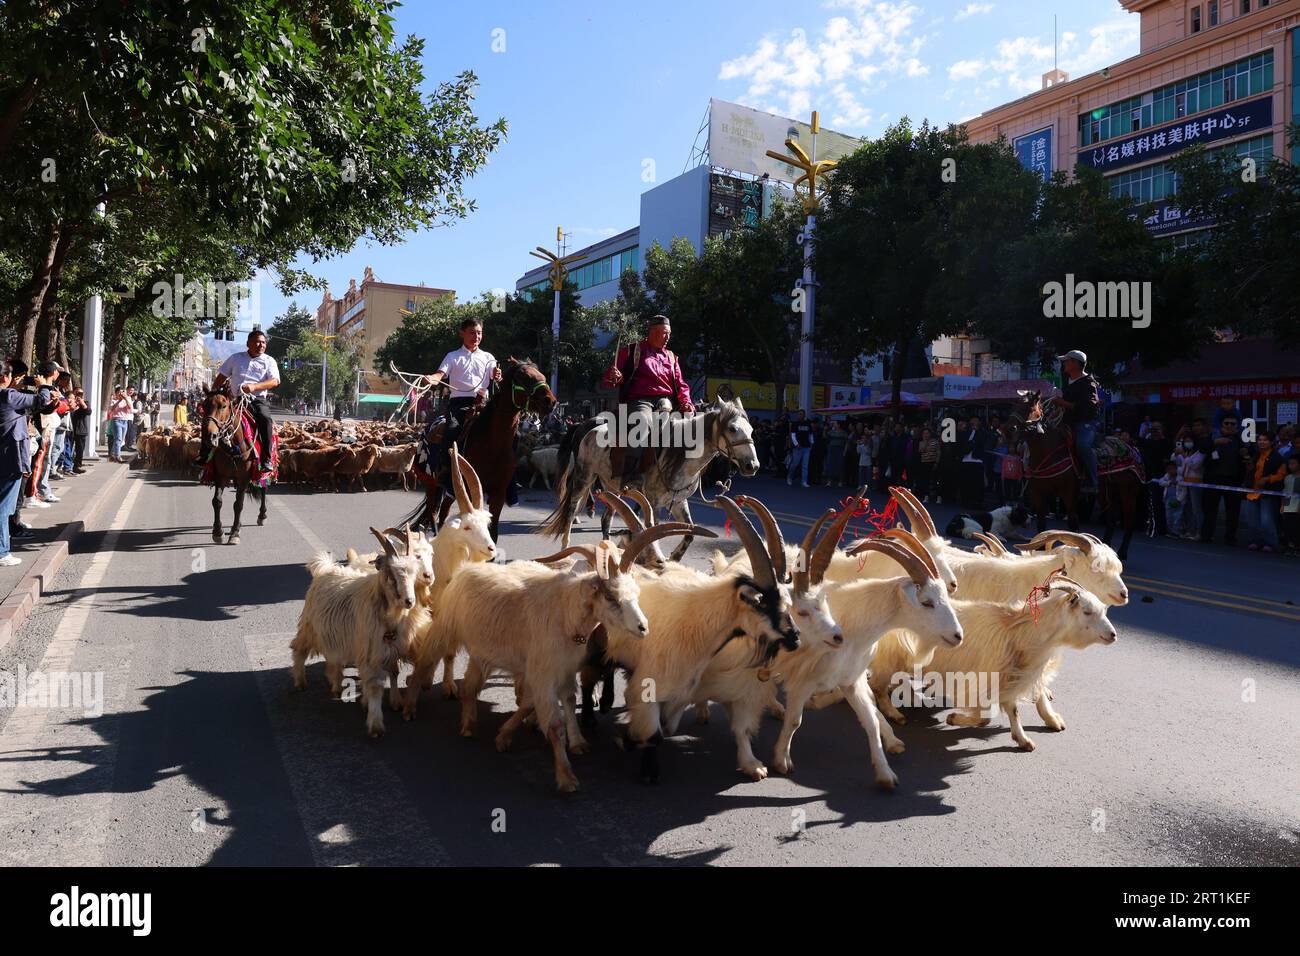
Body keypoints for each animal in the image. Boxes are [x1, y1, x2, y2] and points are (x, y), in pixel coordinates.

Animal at [196, 382, 267, 546]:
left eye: (223, 406)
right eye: (204, 405)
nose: (209, 435)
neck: (232, 445)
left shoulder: (243, 478)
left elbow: (238, 504)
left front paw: (234, 533)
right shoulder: (220, 475)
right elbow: (217, 501)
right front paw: (218, 531)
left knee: (263, 488)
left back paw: (262, 515)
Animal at [289, 530, 426, 738]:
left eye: (414, 573)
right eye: (390, 574)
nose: (409, 601)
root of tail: (325, 569)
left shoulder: (390, 647)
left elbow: (394, 672)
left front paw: (395, 702)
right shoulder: (371, 651)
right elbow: (375, 686)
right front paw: (375, 724)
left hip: (335, 635)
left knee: (334, 659)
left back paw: (336, 684)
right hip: (310, 627)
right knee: (299, 649)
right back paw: (300, 681)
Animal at [400, 356, 553, 541]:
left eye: (541, 374)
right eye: (524, 377)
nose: (550, 401)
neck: (493, 444)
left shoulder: (498, 493)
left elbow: (493, 532)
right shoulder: (469, 490)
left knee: (442, 512)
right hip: (431, 483)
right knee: (433, 513)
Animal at [540, 395, 759, 561]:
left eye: (751, 429)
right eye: (732, 428)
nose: (753, 465)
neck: (679, 455)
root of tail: (589, 428)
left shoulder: (678, 501)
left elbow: (689, 533)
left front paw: (674, 557)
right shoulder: (653, 502)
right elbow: (654, 531)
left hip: (611, 487)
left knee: (606, 519)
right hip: (583, 477)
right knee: (571, 510)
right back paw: (566, 547)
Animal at [1008, 390, 1144, 561]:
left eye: (1030, 407)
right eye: (1015, 405)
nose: (1008, 429)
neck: (1048, 452)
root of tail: (1132, 448)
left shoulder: (1069, 494)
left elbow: (1073, 526)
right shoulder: (1038, 494)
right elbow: (1041, 526)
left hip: (1128, 491)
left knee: (1129, 521)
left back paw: (1122, 553)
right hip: (1104, 492)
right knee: (1111, 520)